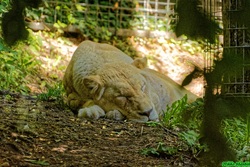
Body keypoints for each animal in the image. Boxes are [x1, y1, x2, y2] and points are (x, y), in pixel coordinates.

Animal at [63, 40, 198, 122]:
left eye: (143, 87)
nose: (148, 113)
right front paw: (92, 111)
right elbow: (80, 102)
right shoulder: (71, 96)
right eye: (122, 97)